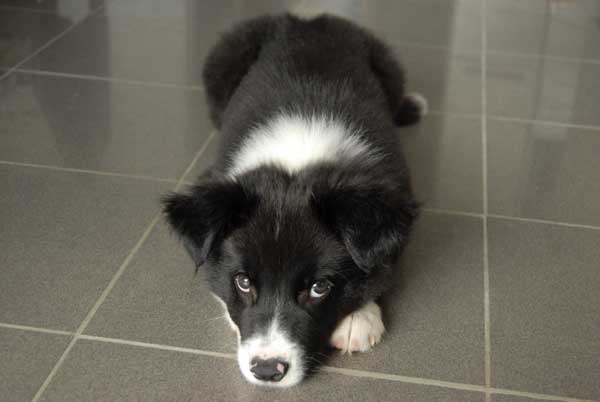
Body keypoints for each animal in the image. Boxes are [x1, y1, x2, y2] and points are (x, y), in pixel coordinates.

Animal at [164, 14, 424, 388]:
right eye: (243, 282)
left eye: (319, 288)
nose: (267, 370)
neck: (298, 155)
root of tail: (306, 19)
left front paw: (358, 318)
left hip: (388, 64)